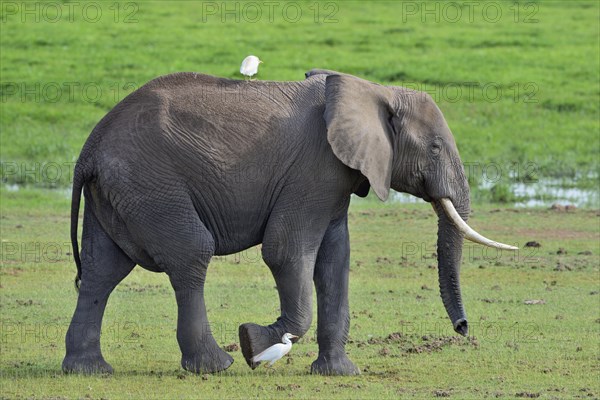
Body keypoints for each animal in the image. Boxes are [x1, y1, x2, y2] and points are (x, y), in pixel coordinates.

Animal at [64, 69, 516, 376]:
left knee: (102, 271)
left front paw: (338, 373)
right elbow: (286, 251)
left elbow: (335, 262)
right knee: (191, 254)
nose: (462, 328)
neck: (373, 90)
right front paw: (253, 343)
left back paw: (88, 370)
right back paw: (218, 365)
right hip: (151, 184)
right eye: (436, 147)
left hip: (120, 193)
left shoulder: (334, 179)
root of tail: (90, 147)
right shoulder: (314, 169)